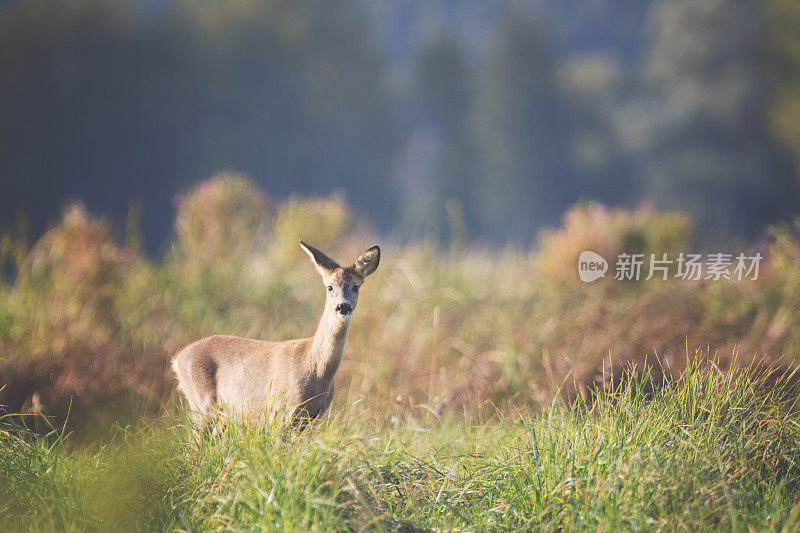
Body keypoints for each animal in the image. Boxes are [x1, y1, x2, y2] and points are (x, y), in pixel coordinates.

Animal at [170, 241, 382, 428]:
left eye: (356, 287)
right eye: (329, 287)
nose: (342, 306)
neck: (315, 369)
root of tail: (178, 358)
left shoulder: (313, 418)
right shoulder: (280, 410)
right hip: (201, 406)